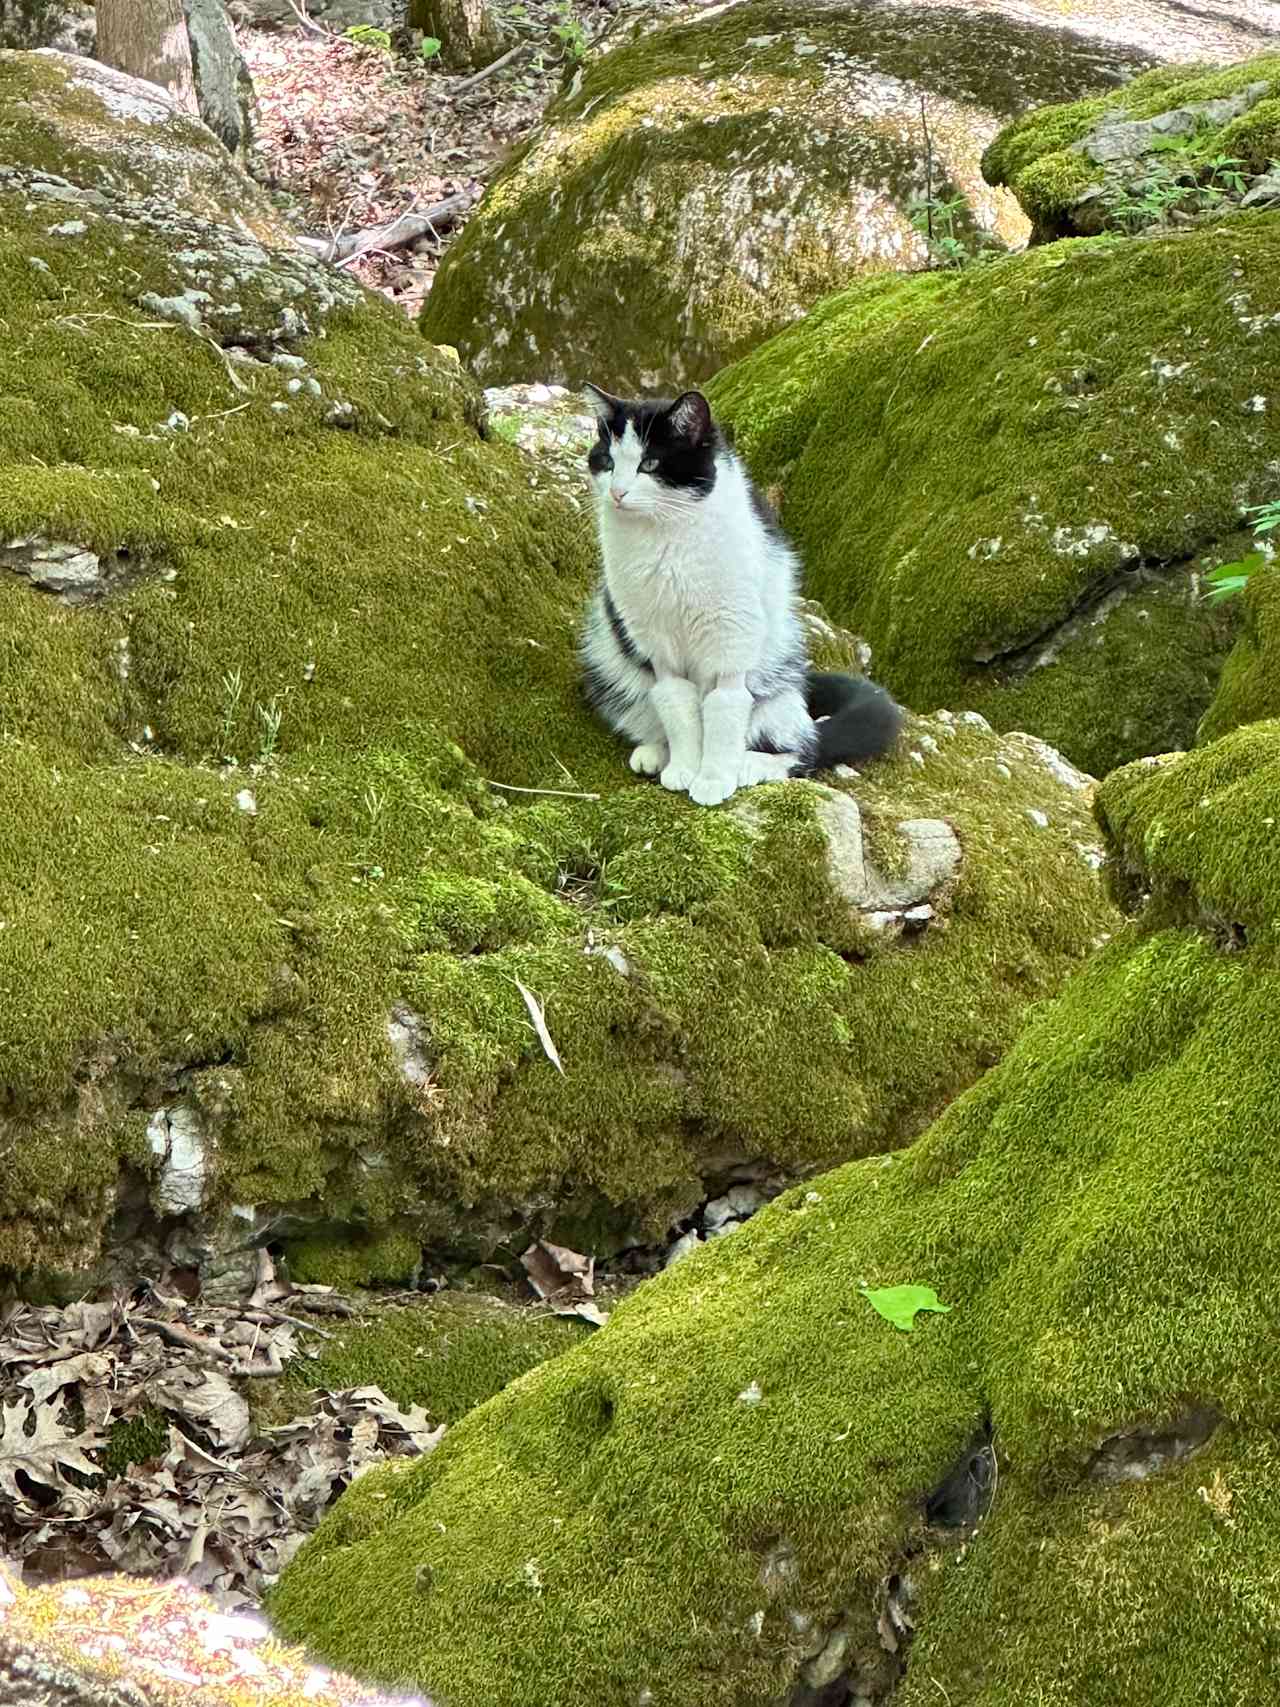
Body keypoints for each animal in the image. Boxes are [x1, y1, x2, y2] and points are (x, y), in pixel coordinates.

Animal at [580, 385, 901, 805]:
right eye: (607, 461)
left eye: (649, 464)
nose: (617, 493)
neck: (664, 535)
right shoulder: (654, 639)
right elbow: (676, 702)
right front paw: (684, 767)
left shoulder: (731, 634)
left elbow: (725, 706)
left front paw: (714, 778)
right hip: (609, 661)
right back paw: (656, 754)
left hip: (778, 681)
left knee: (803, 747)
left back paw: (751, 764)